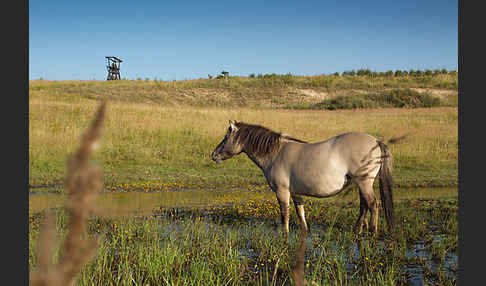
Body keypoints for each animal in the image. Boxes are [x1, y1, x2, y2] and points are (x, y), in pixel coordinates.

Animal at [210, 120, 398, 235]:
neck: (275, 154)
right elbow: (301, 213)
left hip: (364, 182)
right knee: (364, 206)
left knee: (373, 205)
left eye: (226, 137)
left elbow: (284, 214)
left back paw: (372, 232)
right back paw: (358, 230)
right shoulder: (295, 193)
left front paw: (284, 234)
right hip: (361, 184)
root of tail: (376, 141)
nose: (214, 155)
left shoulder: (282, 192)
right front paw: (305, 232)